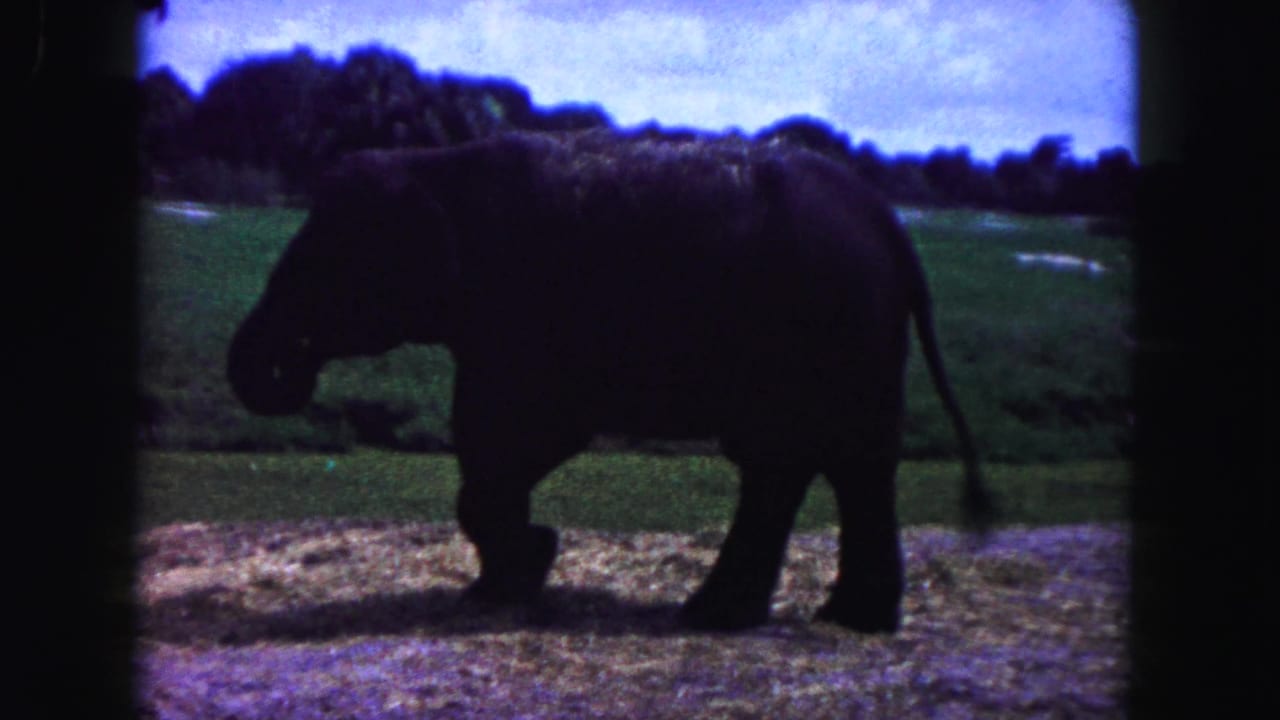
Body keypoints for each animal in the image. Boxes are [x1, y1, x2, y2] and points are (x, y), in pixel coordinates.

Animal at [227, 129, 995, 632]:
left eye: (323, 263)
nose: (285, 364)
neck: (435, 164)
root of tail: (892, 226)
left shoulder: (522, 318)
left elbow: (510, 432)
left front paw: (520, 572)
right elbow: (498, 437)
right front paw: (517, 573)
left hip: (829, 321)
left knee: (804, 458)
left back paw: (744, 617)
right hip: (850, 334)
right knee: (828, 462)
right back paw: (825, 619)